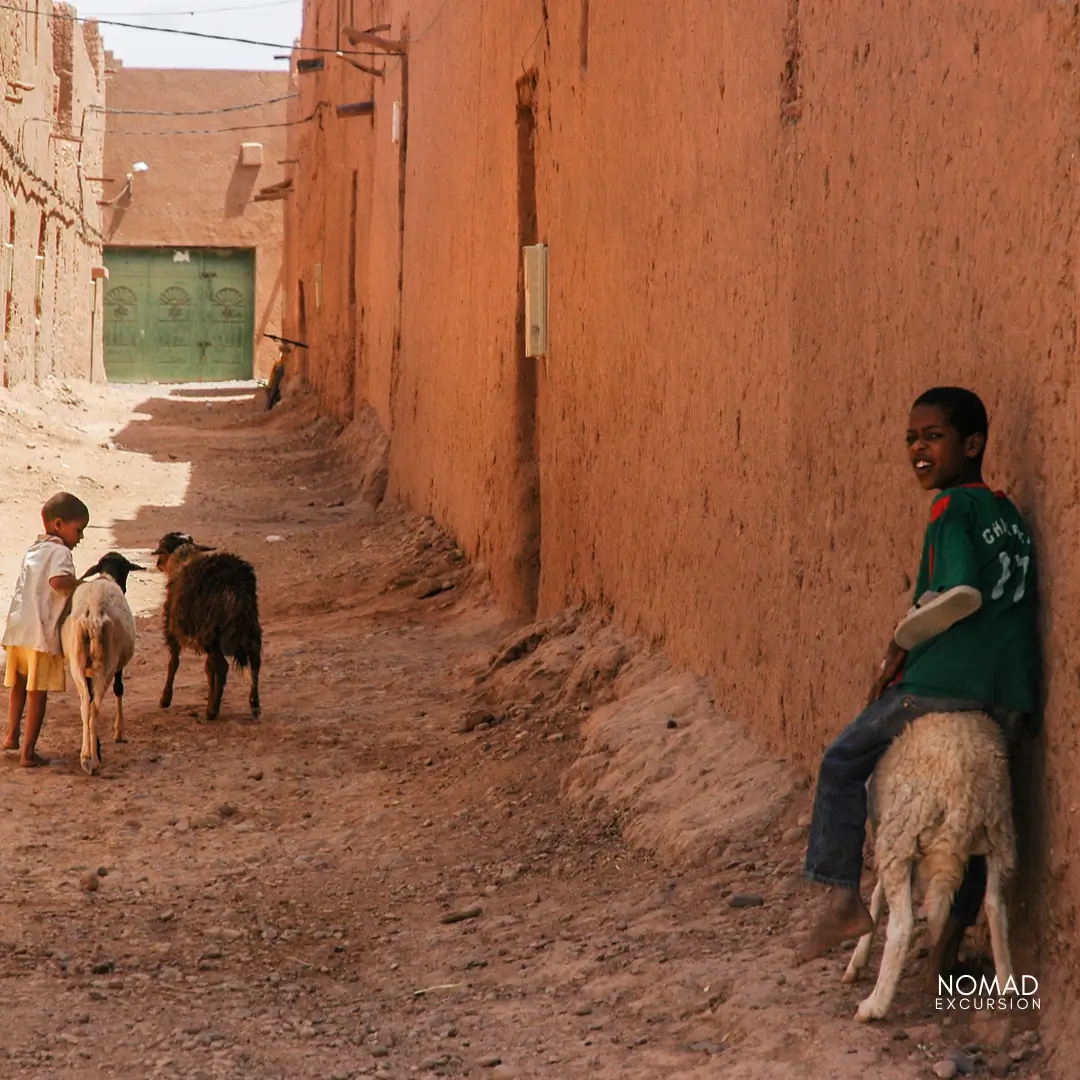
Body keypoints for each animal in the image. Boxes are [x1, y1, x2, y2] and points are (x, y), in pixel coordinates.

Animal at [60, 552, 143, 773]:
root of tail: (93, 613)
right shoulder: (119, 665)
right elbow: (119, 689)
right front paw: (119, 732)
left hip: (77, 663)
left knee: (85, 707)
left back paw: (85, 756)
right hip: (107, 664)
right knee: (95, 706)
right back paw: (94, 761)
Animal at [152, 533, 263, 725]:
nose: (158, 564)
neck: (183, 559)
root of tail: (232, 581)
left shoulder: (172, 629)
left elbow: (173, 663)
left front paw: (165, 699)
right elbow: (208, 669)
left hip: (211, 630)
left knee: (222, 666)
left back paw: (212, 710)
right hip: (249, 624)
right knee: (255, 660)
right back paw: (254, 704)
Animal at [842, 708, 1010, 1019]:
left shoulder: (888, 836)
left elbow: (876, 897)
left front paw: (858, 959)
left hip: (903, 830)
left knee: (902, 926)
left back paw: (875, 1005)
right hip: (998, 832)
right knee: (994, 905)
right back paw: (1007, 984)